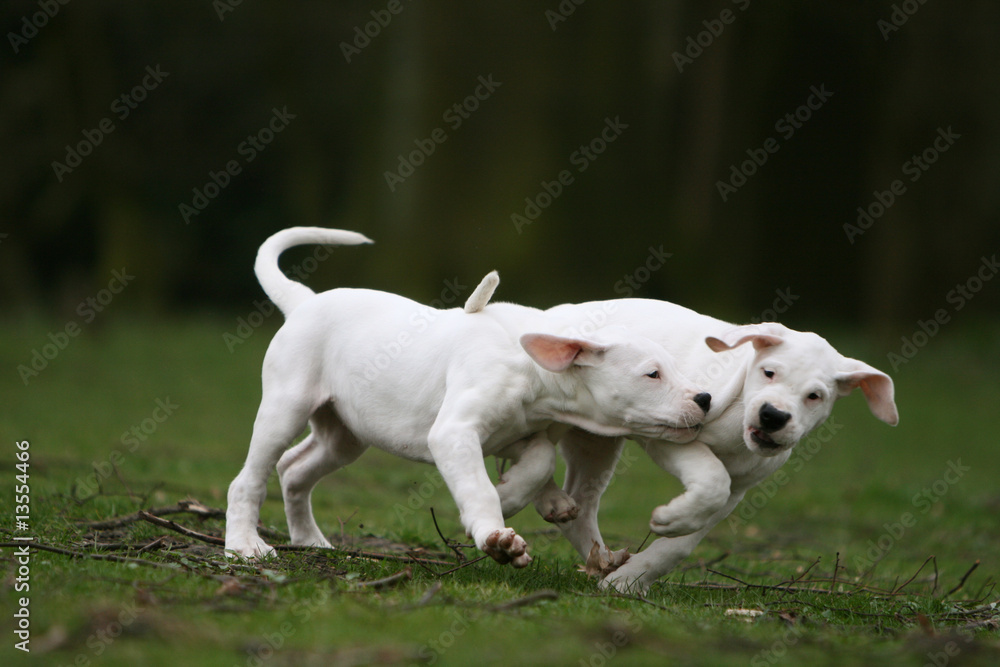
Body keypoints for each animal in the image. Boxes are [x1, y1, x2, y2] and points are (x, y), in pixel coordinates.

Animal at [226, 231, 712, 568]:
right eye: (652, 373)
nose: (705, 398)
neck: (530, 366)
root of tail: (303, 301)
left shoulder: (518, 434)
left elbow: (540, 461)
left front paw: (525, 495)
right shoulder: (455, 433)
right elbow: (478, 487)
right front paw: (497, 531)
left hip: (344, 434)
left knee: (294, 470)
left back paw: (309, 540)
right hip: (285, 408)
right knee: (248, 480)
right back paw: (246, 547)